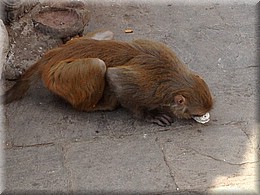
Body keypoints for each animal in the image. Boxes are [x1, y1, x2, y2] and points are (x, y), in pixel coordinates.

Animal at [2, 30, 213, 125]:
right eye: (196, 113)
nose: (203, 117)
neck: (172, 77)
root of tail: (52, 55)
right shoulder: (147, 89)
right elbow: (115, 77)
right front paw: (148, 115)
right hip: (59, 76)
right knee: (98, 66)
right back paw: (97, 106)